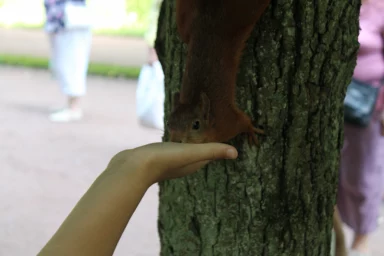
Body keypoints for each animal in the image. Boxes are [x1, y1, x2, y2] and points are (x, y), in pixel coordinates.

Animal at [166, 0, 272, 144]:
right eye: (168, 123)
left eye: (196, 125)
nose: (176, 141)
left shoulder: (228, 122)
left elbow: (243, 121)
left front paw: (250, 130)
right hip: (186, 22)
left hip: (246, 12)